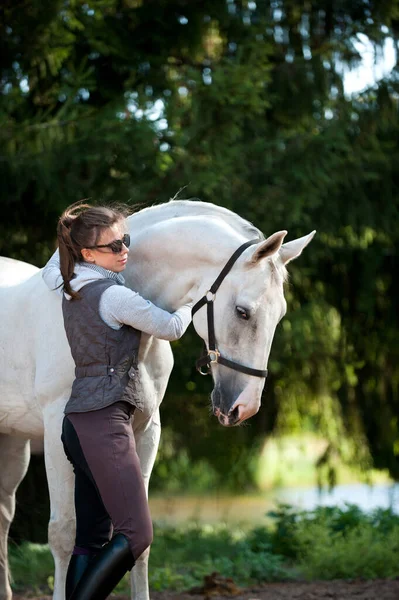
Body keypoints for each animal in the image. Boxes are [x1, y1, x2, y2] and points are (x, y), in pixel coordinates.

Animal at [0, 202, 316, 600]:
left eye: (281, 315)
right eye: (243, 312)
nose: (244, 407)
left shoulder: (146, 431)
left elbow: (138, 542)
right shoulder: (58, 432)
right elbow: (63, 534)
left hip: (13, 443)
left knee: (2, 514)